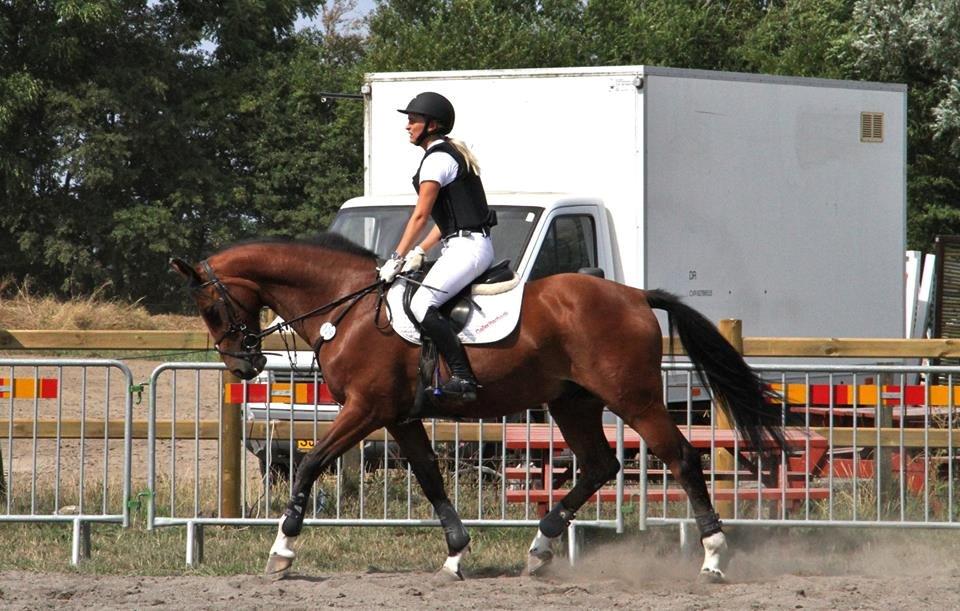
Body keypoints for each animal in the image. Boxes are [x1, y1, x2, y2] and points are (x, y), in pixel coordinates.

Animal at [172, 233, 788, 584]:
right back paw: (540, 549)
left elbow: (309, 463)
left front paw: (281, 552)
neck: (348, 309)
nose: (243, 366)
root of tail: (635, 295)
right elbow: (429, 477)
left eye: (211, 308)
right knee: (599, 465)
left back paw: (713, 557)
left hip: (632, 397)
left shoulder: (365, 410)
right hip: (573, 402)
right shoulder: (398, 416)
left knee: (680, 457)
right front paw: (455, 555)